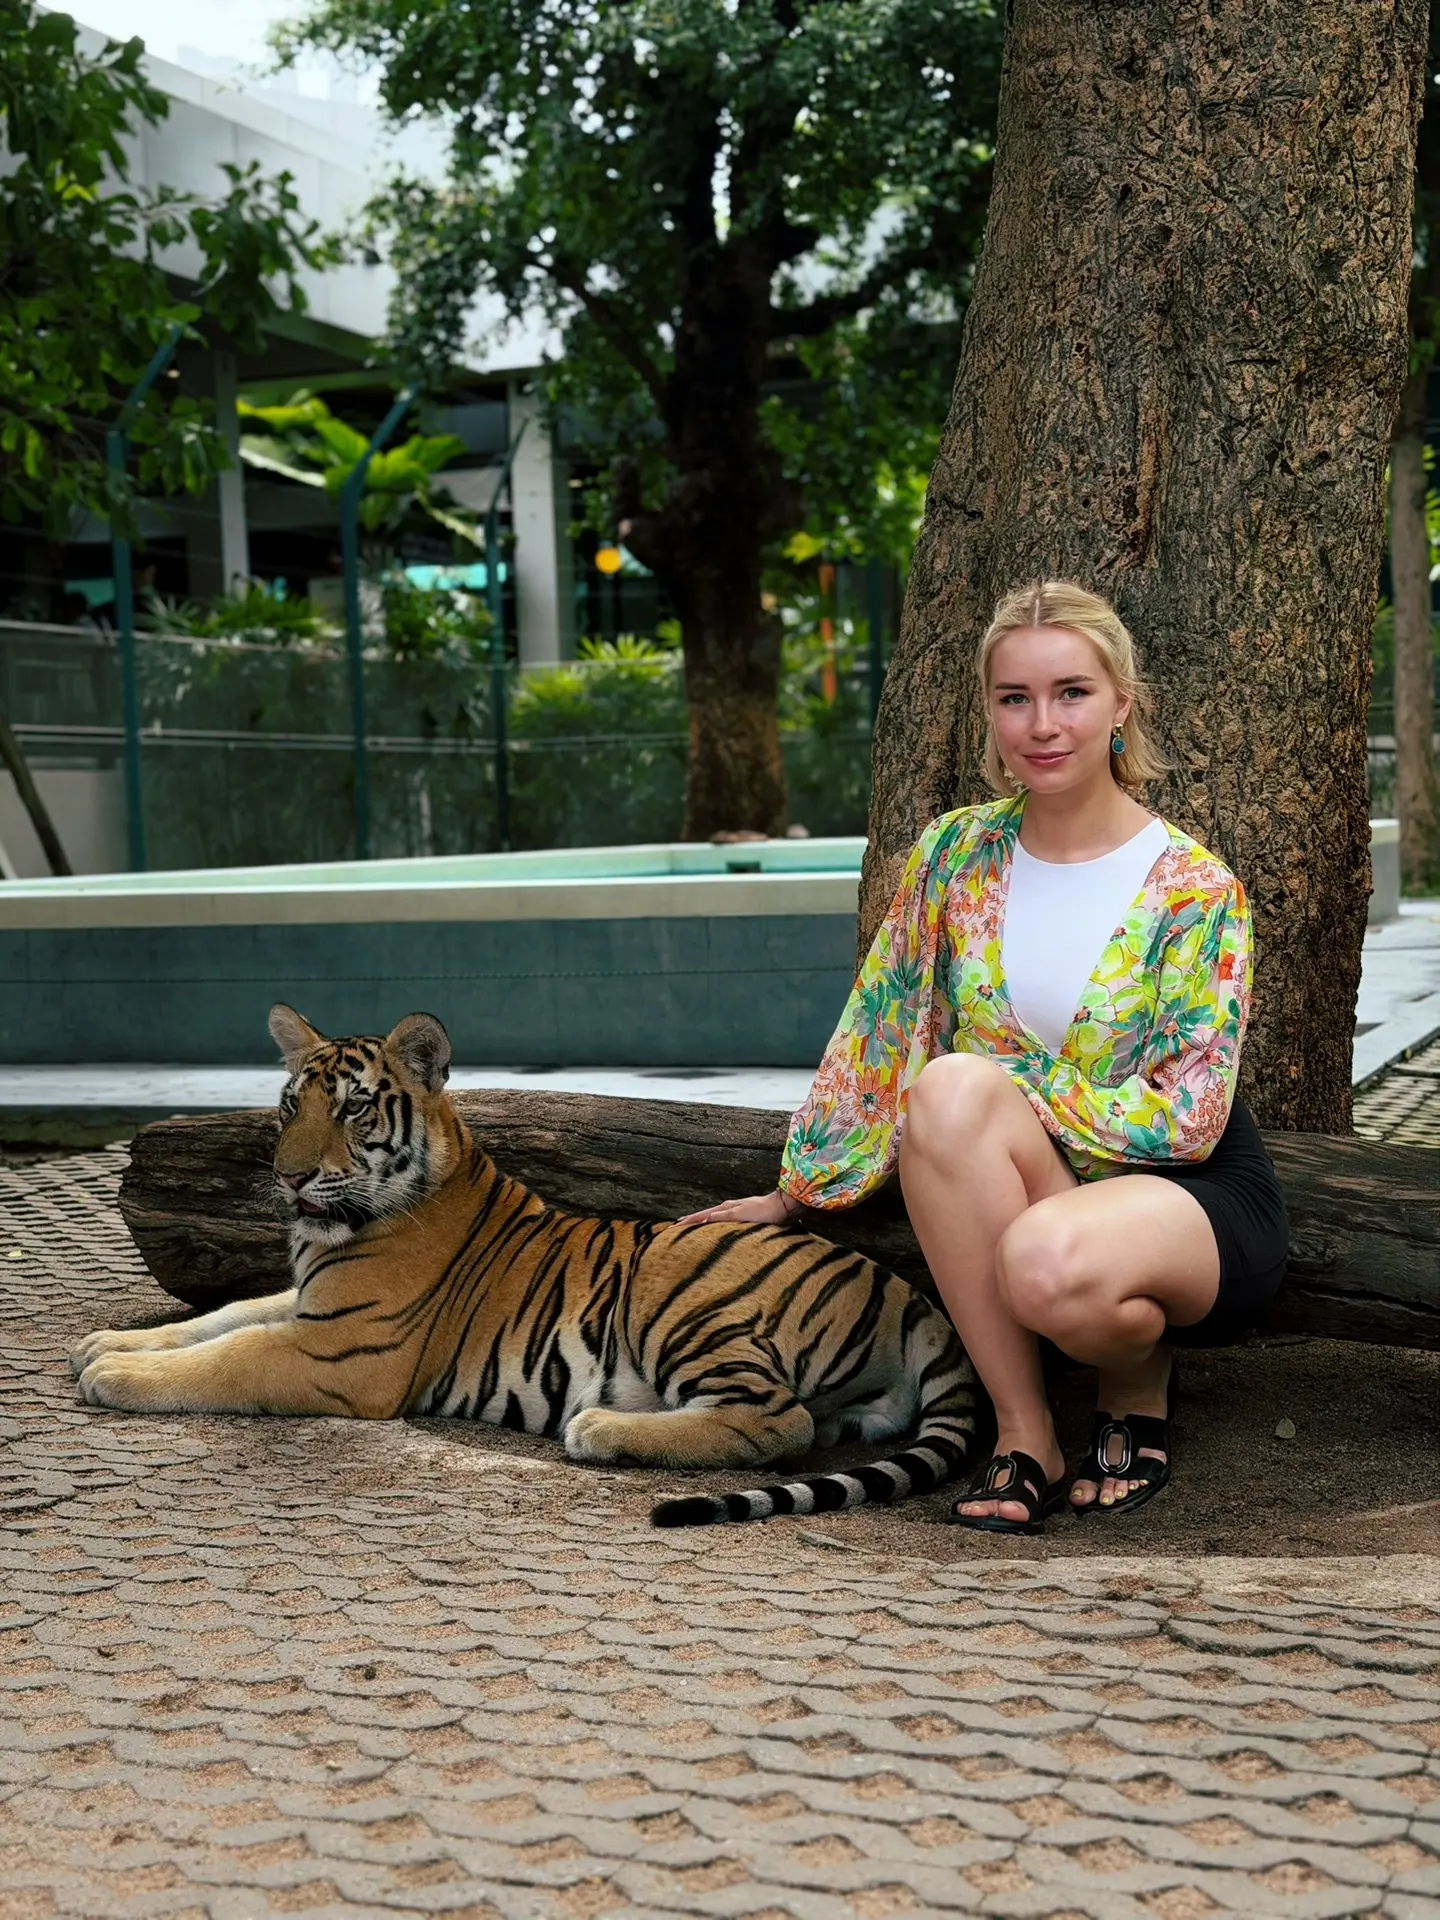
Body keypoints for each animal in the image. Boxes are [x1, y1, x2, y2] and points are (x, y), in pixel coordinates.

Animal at [70, 1004, 978, 1526]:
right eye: (293, 1105)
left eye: (355, 1109)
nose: (289, 1178)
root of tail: (909, 1294)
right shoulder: (310, 1302)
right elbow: (223, 1316)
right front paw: (105, 1343)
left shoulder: (346, 1351)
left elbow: (231, 1355)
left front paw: (116, 1376)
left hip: (679, 1295)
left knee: (779, 1423)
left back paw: (601, 1429)